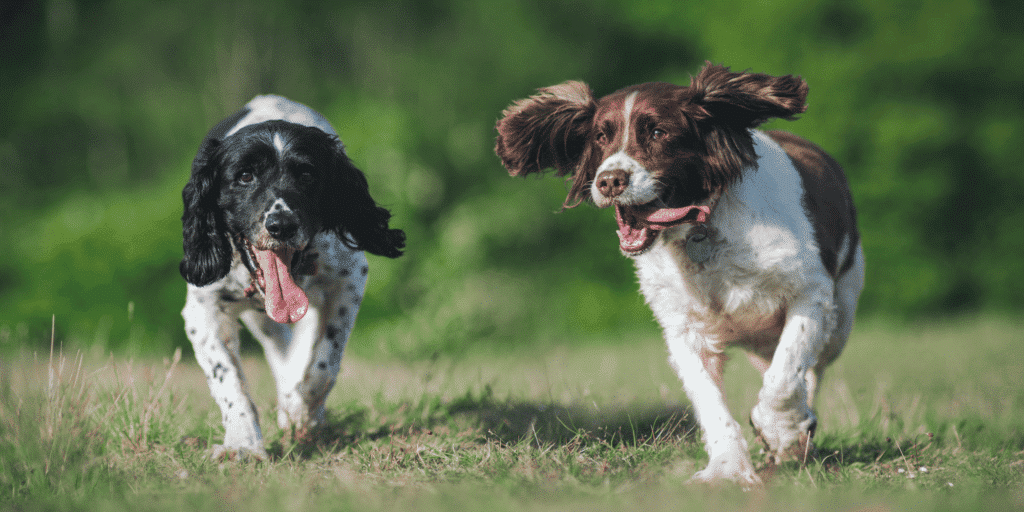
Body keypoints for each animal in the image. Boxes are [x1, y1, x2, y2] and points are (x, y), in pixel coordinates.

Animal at [180, 96, 403, 460]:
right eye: (244, 176)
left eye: (307, 175)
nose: (281, 224)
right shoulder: (203, 309)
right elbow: (227, 380)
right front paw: (243, 444)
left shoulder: (349, 280)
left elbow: (325, 364)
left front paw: (303, 413)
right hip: (262, 321)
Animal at [495, 64, 864, 487]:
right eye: (600, 136)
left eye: (658, 132)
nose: (609, 180)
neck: (701, 231)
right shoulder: (683, 329)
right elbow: (710, 401)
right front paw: (727, 469)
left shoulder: (810, 294)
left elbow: (786, 374)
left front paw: (782, 431)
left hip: (840, 320)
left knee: (811, 370)